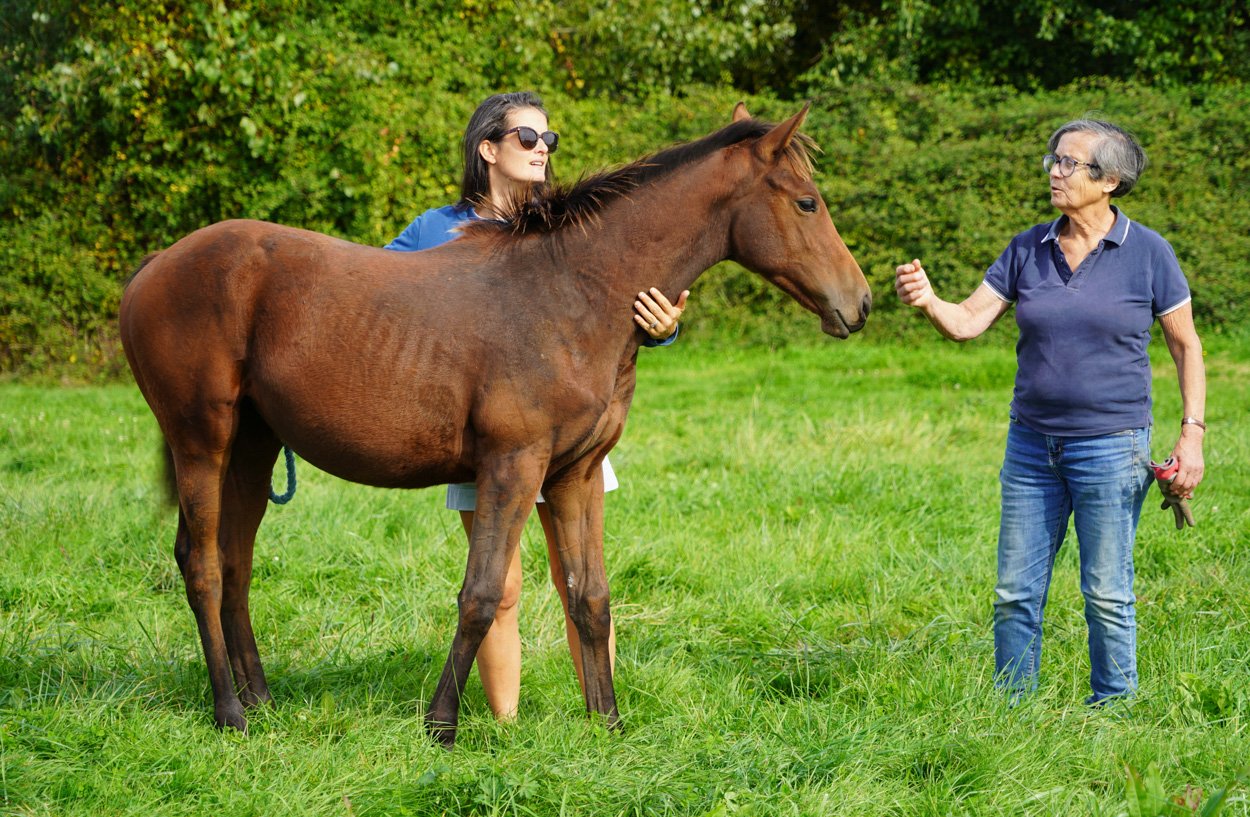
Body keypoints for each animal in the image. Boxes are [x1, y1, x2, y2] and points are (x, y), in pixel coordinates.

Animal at [119, 103, 871, 747]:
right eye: (807, 201)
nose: (859, 303)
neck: (571, 292)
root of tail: (154, 267)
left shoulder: (574, 474)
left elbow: (590, 597)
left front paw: (609, 724)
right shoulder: (513, 465)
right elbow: (481, 594)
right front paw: (441, 725)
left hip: (252, 448)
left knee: (235, 564)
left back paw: (263, 699)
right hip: (201, 442)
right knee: (202, 565)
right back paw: (230, 713)